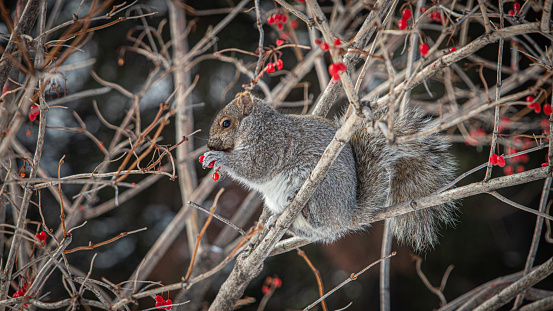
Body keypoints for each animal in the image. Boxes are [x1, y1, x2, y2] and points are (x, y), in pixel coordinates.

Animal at [201, 91, 454, 252]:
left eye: (226, 123)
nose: (210, 145)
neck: (257, 126)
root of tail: (346, 215)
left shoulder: (270, 145)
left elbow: (254, 168)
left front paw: (220, 159)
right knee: (315, 232)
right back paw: (279, 221)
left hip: (323, 190)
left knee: (320, 222)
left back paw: (300, 204)